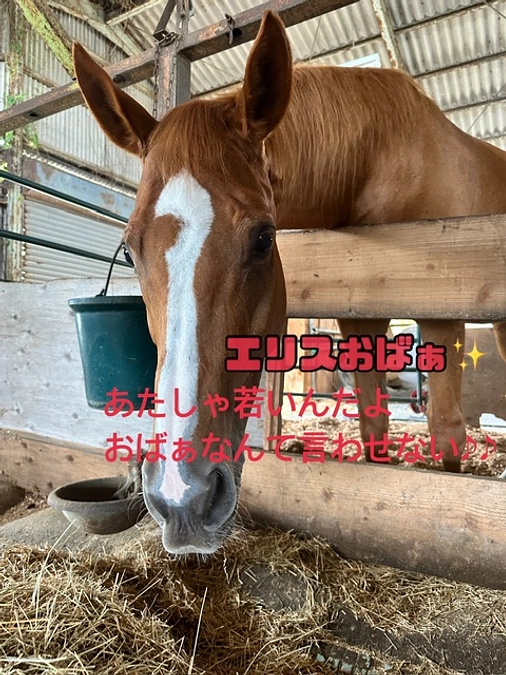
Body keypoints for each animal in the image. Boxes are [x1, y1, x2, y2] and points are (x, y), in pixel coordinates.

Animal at [73, 11, 506, 554]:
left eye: (263, 238)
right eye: (130, 249)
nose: (182, 500)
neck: (378, 159)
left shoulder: (442, 313)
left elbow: (447, 432)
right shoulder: (360, 320)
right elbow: (374, 426)